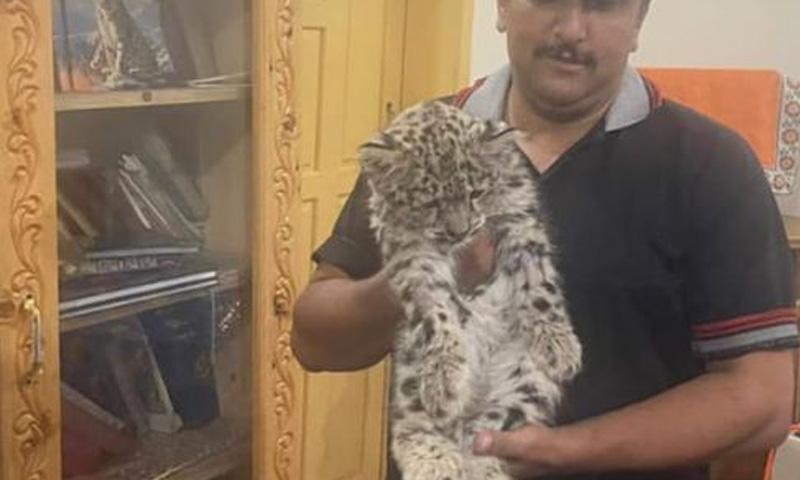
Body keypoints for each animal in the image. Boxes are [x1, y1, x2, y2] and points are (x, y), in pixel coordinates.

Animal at [358, 100, 582, 480]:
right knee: (414, 427)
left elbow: (537, 282)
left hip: (528, 380)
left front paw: (559, 345)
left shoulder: (519, 220)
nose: (459, 231)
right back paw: (436, 456)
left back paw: (482, 465)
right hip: (410, 371)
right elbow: (435, 311)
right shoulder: (413, 255)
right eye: (429, 203)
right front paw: (445, 376)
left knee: (483, 432)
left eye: (477, 192)